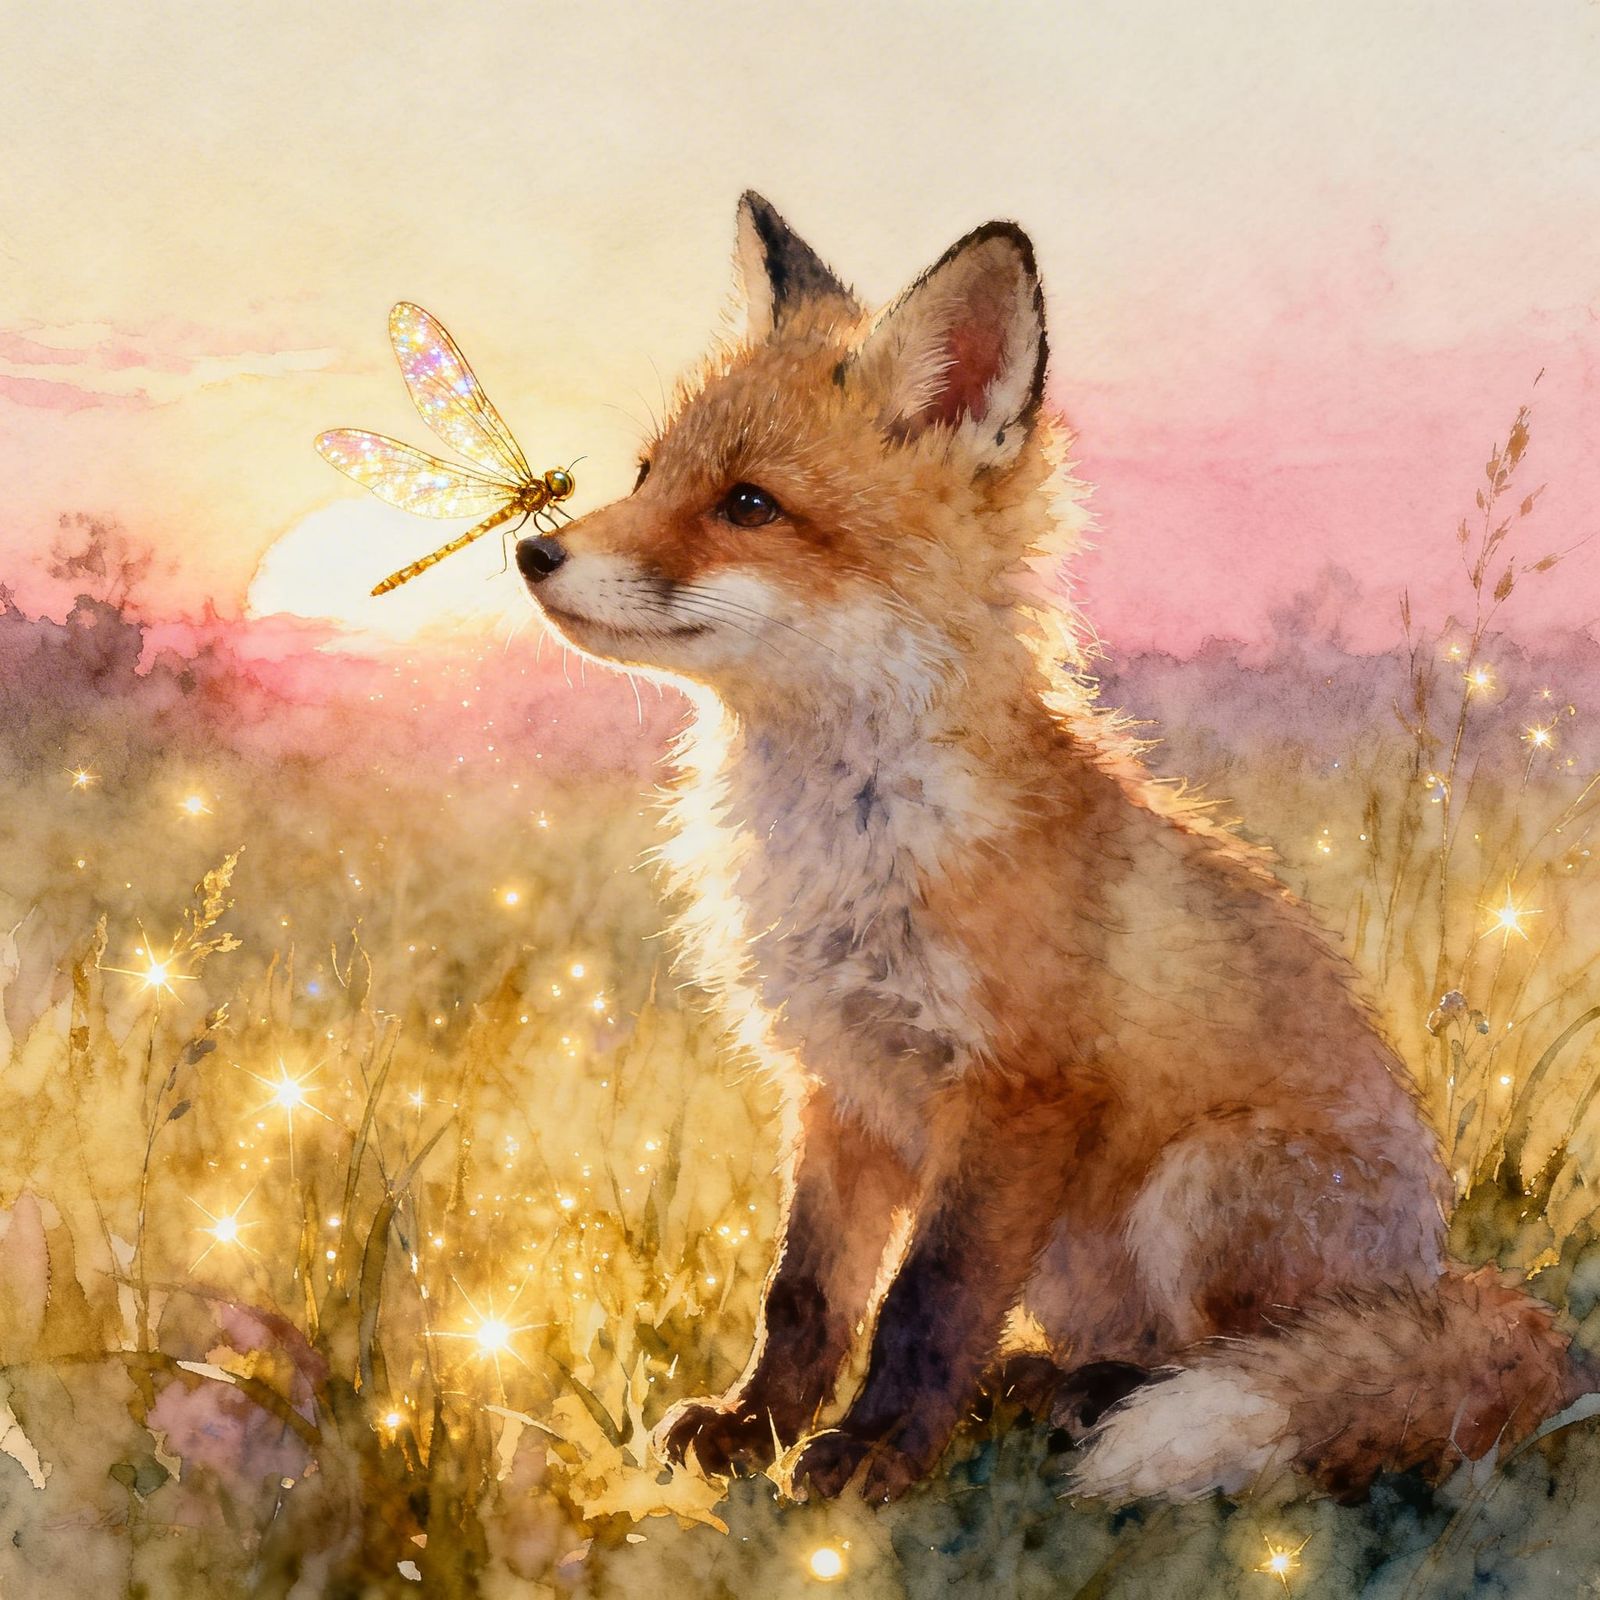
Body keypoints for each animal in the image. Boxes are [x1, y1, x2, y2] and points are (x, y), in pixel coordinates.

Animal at [513, 190, 1593, 1505]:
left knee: (1244, 1356)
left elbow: (926, 1301)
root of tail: (1438, 1275)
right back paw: (1043, 1383)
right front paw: (751, 1429)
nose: (533, 553)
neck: (849, 840)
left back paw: (1098, 1401)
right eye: (646, 474)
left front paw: (873, 1457)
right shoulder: (839, 1088)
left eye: (749, 505)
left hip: (1206, 1183)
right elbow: (805, 1297)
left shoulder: (1018, 1087)